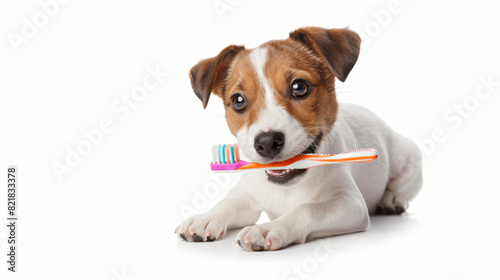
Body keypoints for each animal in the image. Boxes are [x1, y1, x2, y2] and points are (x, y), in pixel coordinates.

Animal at [175, 26, 422, 252]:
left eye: (299, 87)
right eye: (238, 101)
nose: (267, 142)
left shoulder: (349, 202)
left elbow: (307, 209)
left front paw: (267, 229)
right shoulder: (247, 195)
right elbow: (228, 202)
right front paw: (205, 217)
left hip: (410, 160)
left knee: (402, 188)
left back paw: (392, 200)